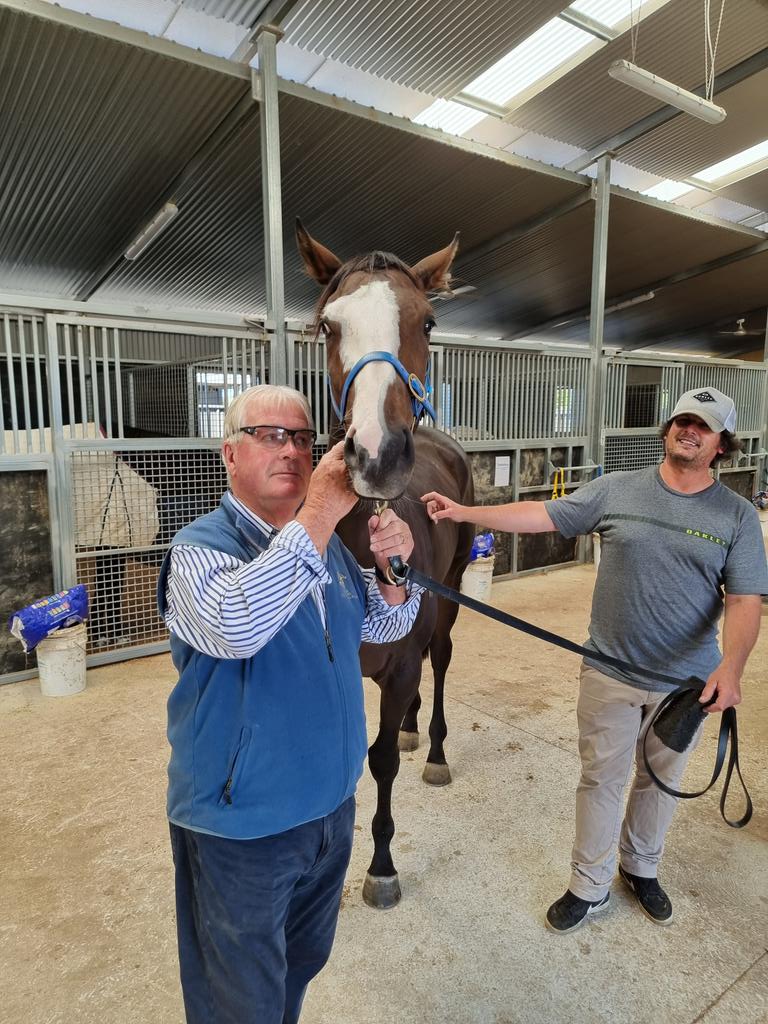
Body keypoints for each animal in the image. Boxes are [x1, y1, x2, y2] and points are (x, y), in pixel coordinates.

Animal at [297, 220, 475, 909]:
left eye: (427, 320)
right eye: (328, 325)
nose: (376, 456)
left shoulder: (397, 670)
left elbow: (380, 762)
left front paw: (380, 866)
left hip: (450, 592)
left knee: (441, 658)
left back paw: (436, 748)